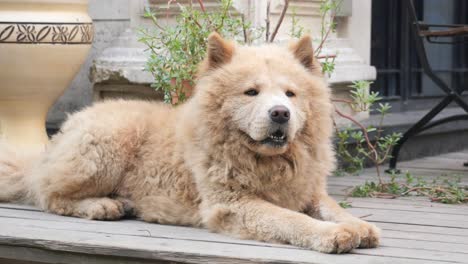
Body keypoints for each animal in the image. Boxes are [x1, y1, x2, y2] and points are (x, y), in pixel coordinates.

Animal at [0, 33, 380, 254]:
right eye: (251, 92)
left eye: (290, 94)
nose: (280, 114)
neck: (268, 161)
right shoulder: (235, 204)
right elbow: (291, 220)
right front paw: (333, 234)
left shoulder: (308, 191)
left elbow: (331, 207)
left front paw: (358, 225)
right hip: (109, 145)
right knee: (49, 195)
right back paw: (102, 205)